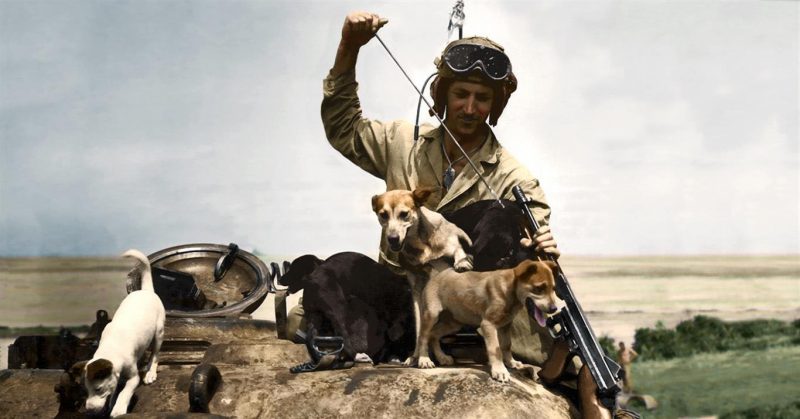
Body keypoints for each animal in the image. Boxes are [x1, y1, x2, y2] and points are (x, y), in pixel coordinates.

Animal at [74, 249, 166, 416]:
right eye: (85, 391)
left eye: (98, 389)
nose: (89, 409)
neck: (110, 349)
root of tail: (145, 291)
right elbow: (115, 389)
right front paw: (111, 403)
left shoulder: (133, 378)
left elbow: (125, 392)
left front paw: (118, 409)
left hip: (159, 332)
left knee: (155, 355)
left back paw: (150, 372)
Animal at [370, 189, 472, 366]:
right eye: (383, 215)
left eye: (404, 214)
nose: (393, 238)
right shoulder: (416, 288)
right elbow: (421, 333)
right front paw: (422, 358)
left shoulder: (451, 244)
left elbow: (458, 250)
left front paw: (462, 263)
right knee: (427, 334)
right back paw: (421, 357)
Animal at [412, 260, 556, 384]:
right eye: (539, 288)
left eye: (553, 288)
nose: (554, 309)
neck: (510, 290)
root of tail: (436, 276)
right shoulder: (488, 324)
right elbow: (495, 349)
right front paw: (500, 370)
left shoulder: (505, 325)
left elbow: (507, 345)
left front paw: (511, 362)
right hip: (431, 315)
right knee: (423, 337)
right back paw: (424, 360)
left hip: (454, 323)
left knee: (433, 335)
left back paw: (442, 357)